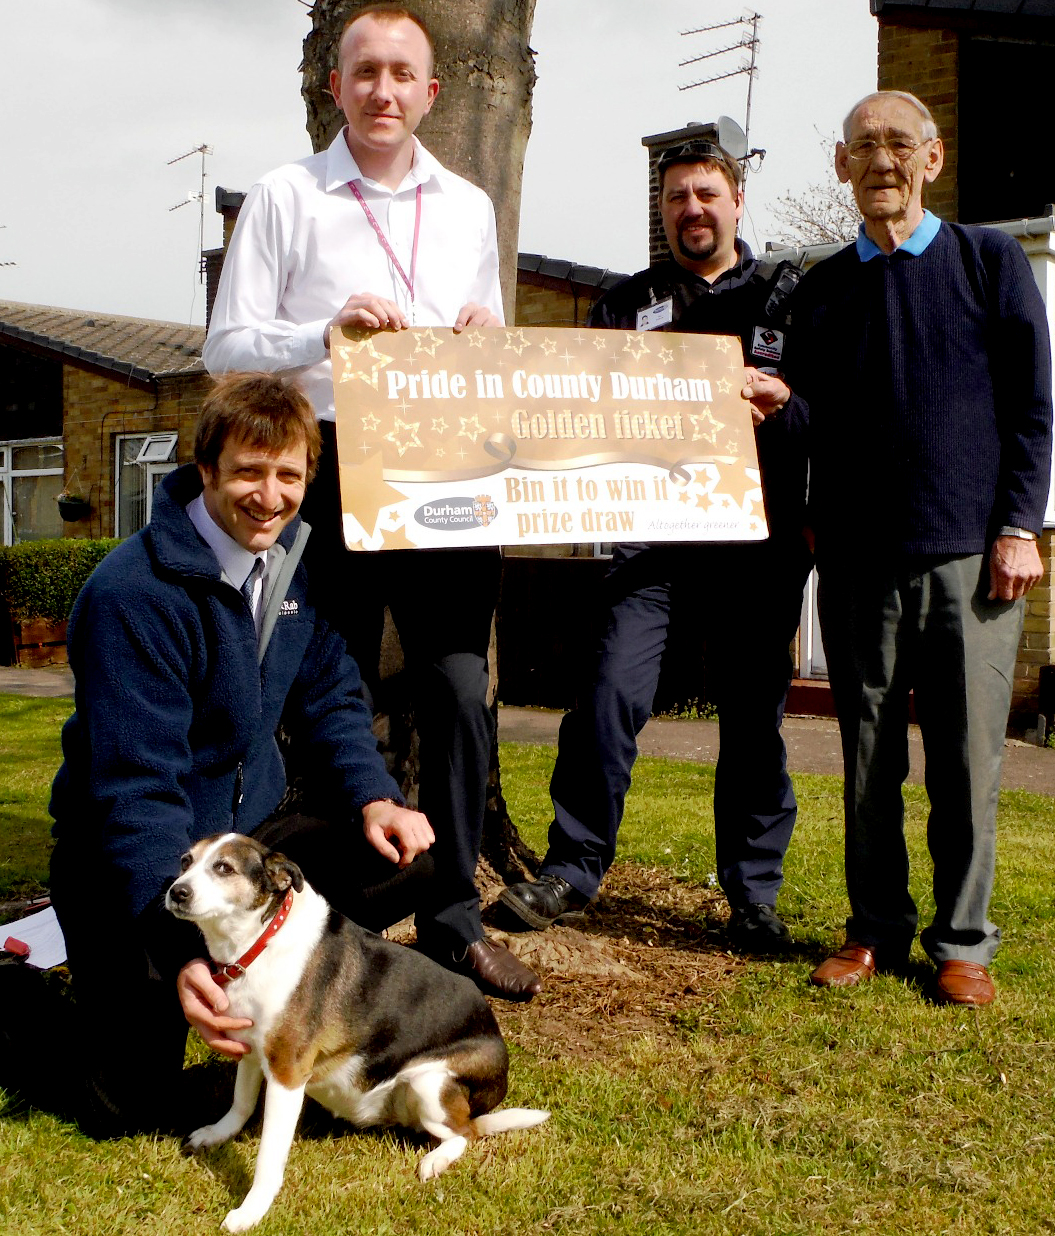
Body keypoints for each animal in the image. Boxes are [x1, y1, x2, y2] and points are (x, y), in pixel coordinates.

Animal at [166, 835, 546, 1231]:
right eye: (185, 862)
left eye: (224, 868)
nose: (176, 892)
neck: (261, 940)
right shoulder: (250, 1047)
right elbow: (240, 1104)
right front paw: (217, 1134)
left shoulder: (288, 1073)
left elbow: (268, 1157)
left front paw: (251, 1210)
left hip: (430, 1083)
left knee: (466, 1133)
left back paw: (435, 1161)